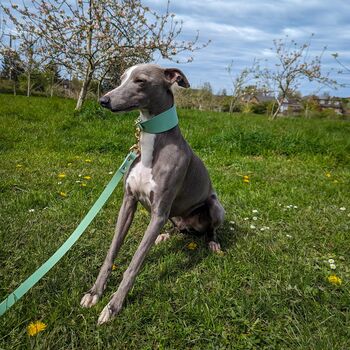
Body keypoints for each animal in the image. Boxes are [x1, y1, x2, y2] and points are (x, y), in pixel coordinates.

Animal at [80, 64, 224, 324]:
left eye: (140, 80)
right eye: (122, 78)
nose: (103, 100)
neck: (151, 146)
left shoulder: (158, 213)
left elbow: (134, 264)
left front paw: (113, 306)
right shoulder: (128, 202)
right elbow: (111, 252)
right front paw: (95, 292)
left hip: (215, 207)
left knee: (211, 226)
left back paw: (213, 243)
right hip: (173, 216)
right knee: (177, 226)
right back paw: (166, 235)